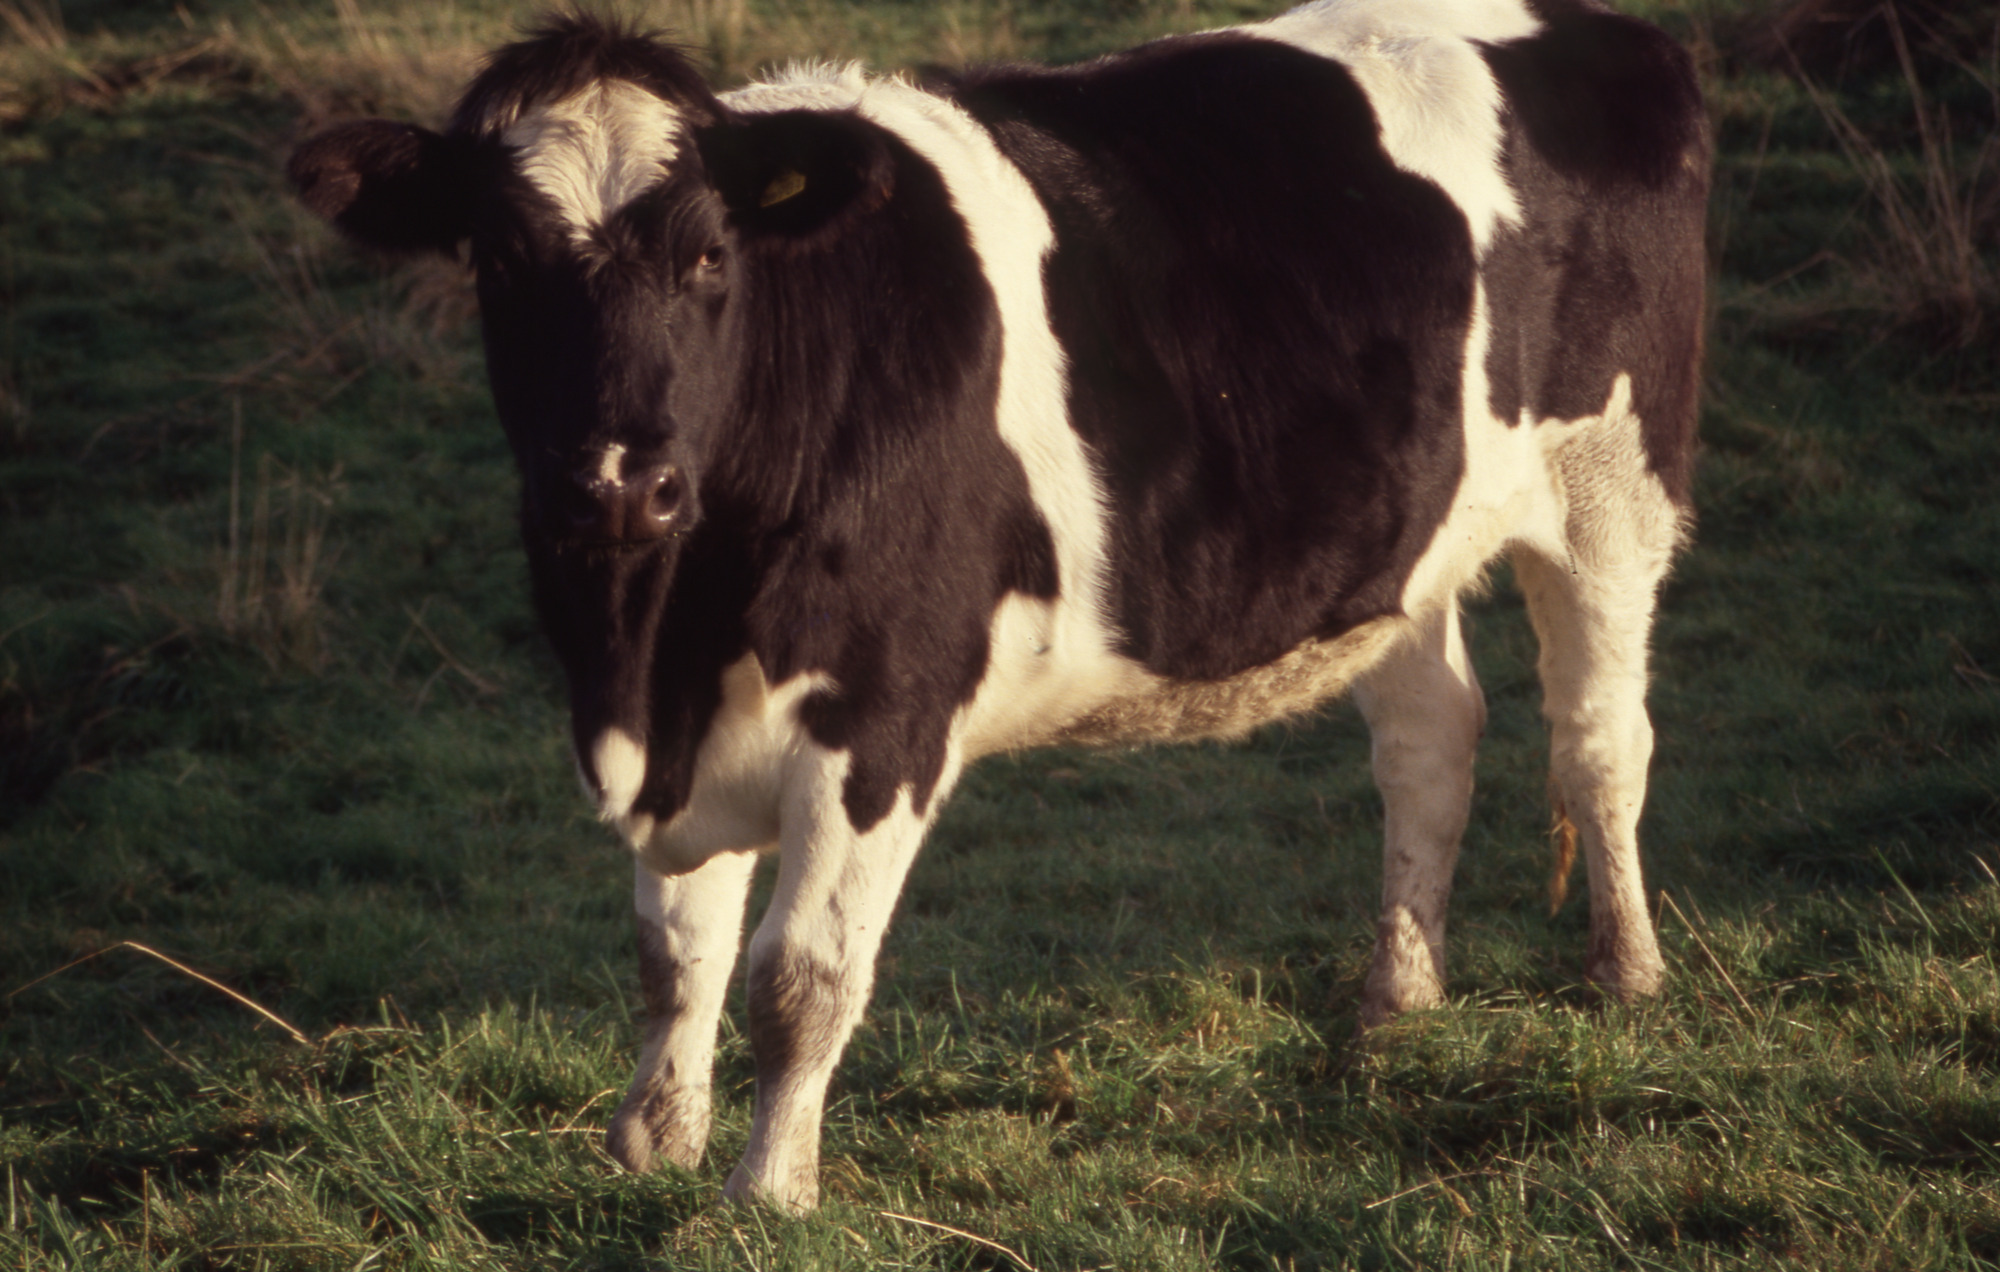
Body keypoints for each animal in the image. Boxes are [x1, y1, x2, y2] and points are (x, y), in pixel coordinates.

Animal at [288, 0, 1707, 1212]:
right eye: (501, 261)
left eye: (705, 256)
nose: (621, 482)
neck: (656, 643)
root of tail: (1608, 32)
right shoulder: (685, 721)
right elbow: (674, 953)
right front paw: (655, 1144)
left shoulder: (881, 718)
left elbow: (797, 978)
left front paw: (766, 1193)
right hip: (1399, 545)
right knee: (1429, 741)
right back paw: (1393, 1005)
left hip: (1609, 487)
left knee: (1600, 741)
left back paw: (1625, 976)